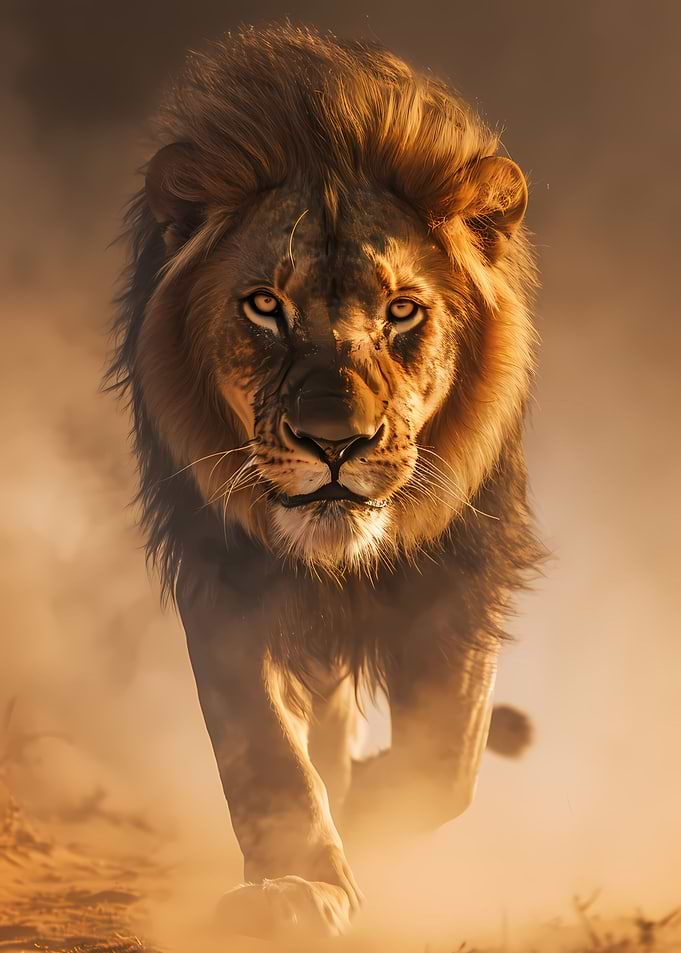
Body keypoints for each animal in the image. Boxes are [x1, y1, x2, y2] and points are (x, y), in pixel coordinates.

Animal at [106, 24, 544, 939]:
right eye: (264, 306)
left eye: (402, 311)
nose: (334, 442)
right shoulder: (225, 568)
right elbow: (263, 748)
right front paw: (297, 885)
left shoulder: (461, 568)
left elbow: (444, 757)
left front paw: (375, 808)